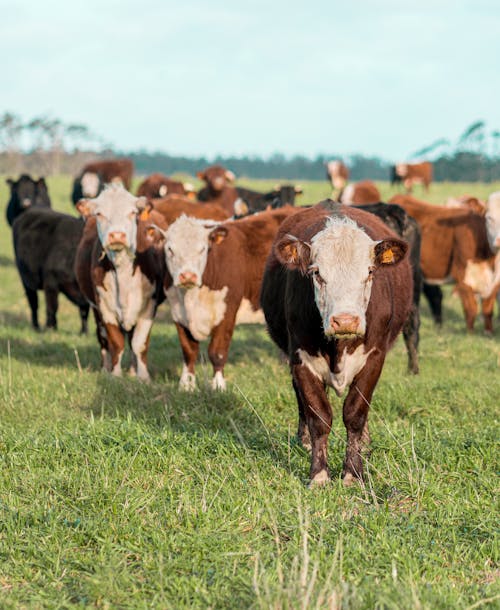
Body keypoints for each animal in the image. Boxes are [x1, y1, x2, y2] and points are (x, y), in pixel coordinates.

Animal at [74, 183, 166, 378]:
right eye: (99, 213)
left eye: (132, 212)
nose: (116, 235)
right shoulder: (104, 306)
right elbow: (116, 342)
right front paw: (115, 375)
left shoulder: (149, 305)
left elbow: (139, 343)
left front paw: (143, 377)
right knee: (103, 338)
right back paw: (105, 368)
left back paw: (132, 371)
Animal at [152, 205, 298, 390]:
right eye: (170, 249)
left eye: (202, 249)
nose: (188, 276)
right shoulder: (178, 313)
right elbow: (188, 351)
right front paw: (186, 385)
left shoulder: (227, 311)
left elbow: (217, 352)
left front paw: (218, 386)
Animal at [260, 200, 412, 484]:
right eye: (317, 273)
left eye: (370, 271)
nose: (345, 321)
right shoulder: (300, 359)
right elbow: (318, 415)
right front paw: (319, 474)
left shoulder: (374, 358)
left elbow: (356, 413)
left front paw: (353, 473)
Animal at [392, 194, 498, 332]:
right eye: (489, 218)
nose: (499, 241)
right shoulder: (461, 273)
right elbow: (471, 309)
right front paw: (470, 333)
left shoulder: (494, 280)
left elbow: (487, 308)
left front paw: (488, 332)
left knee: (435, 296)